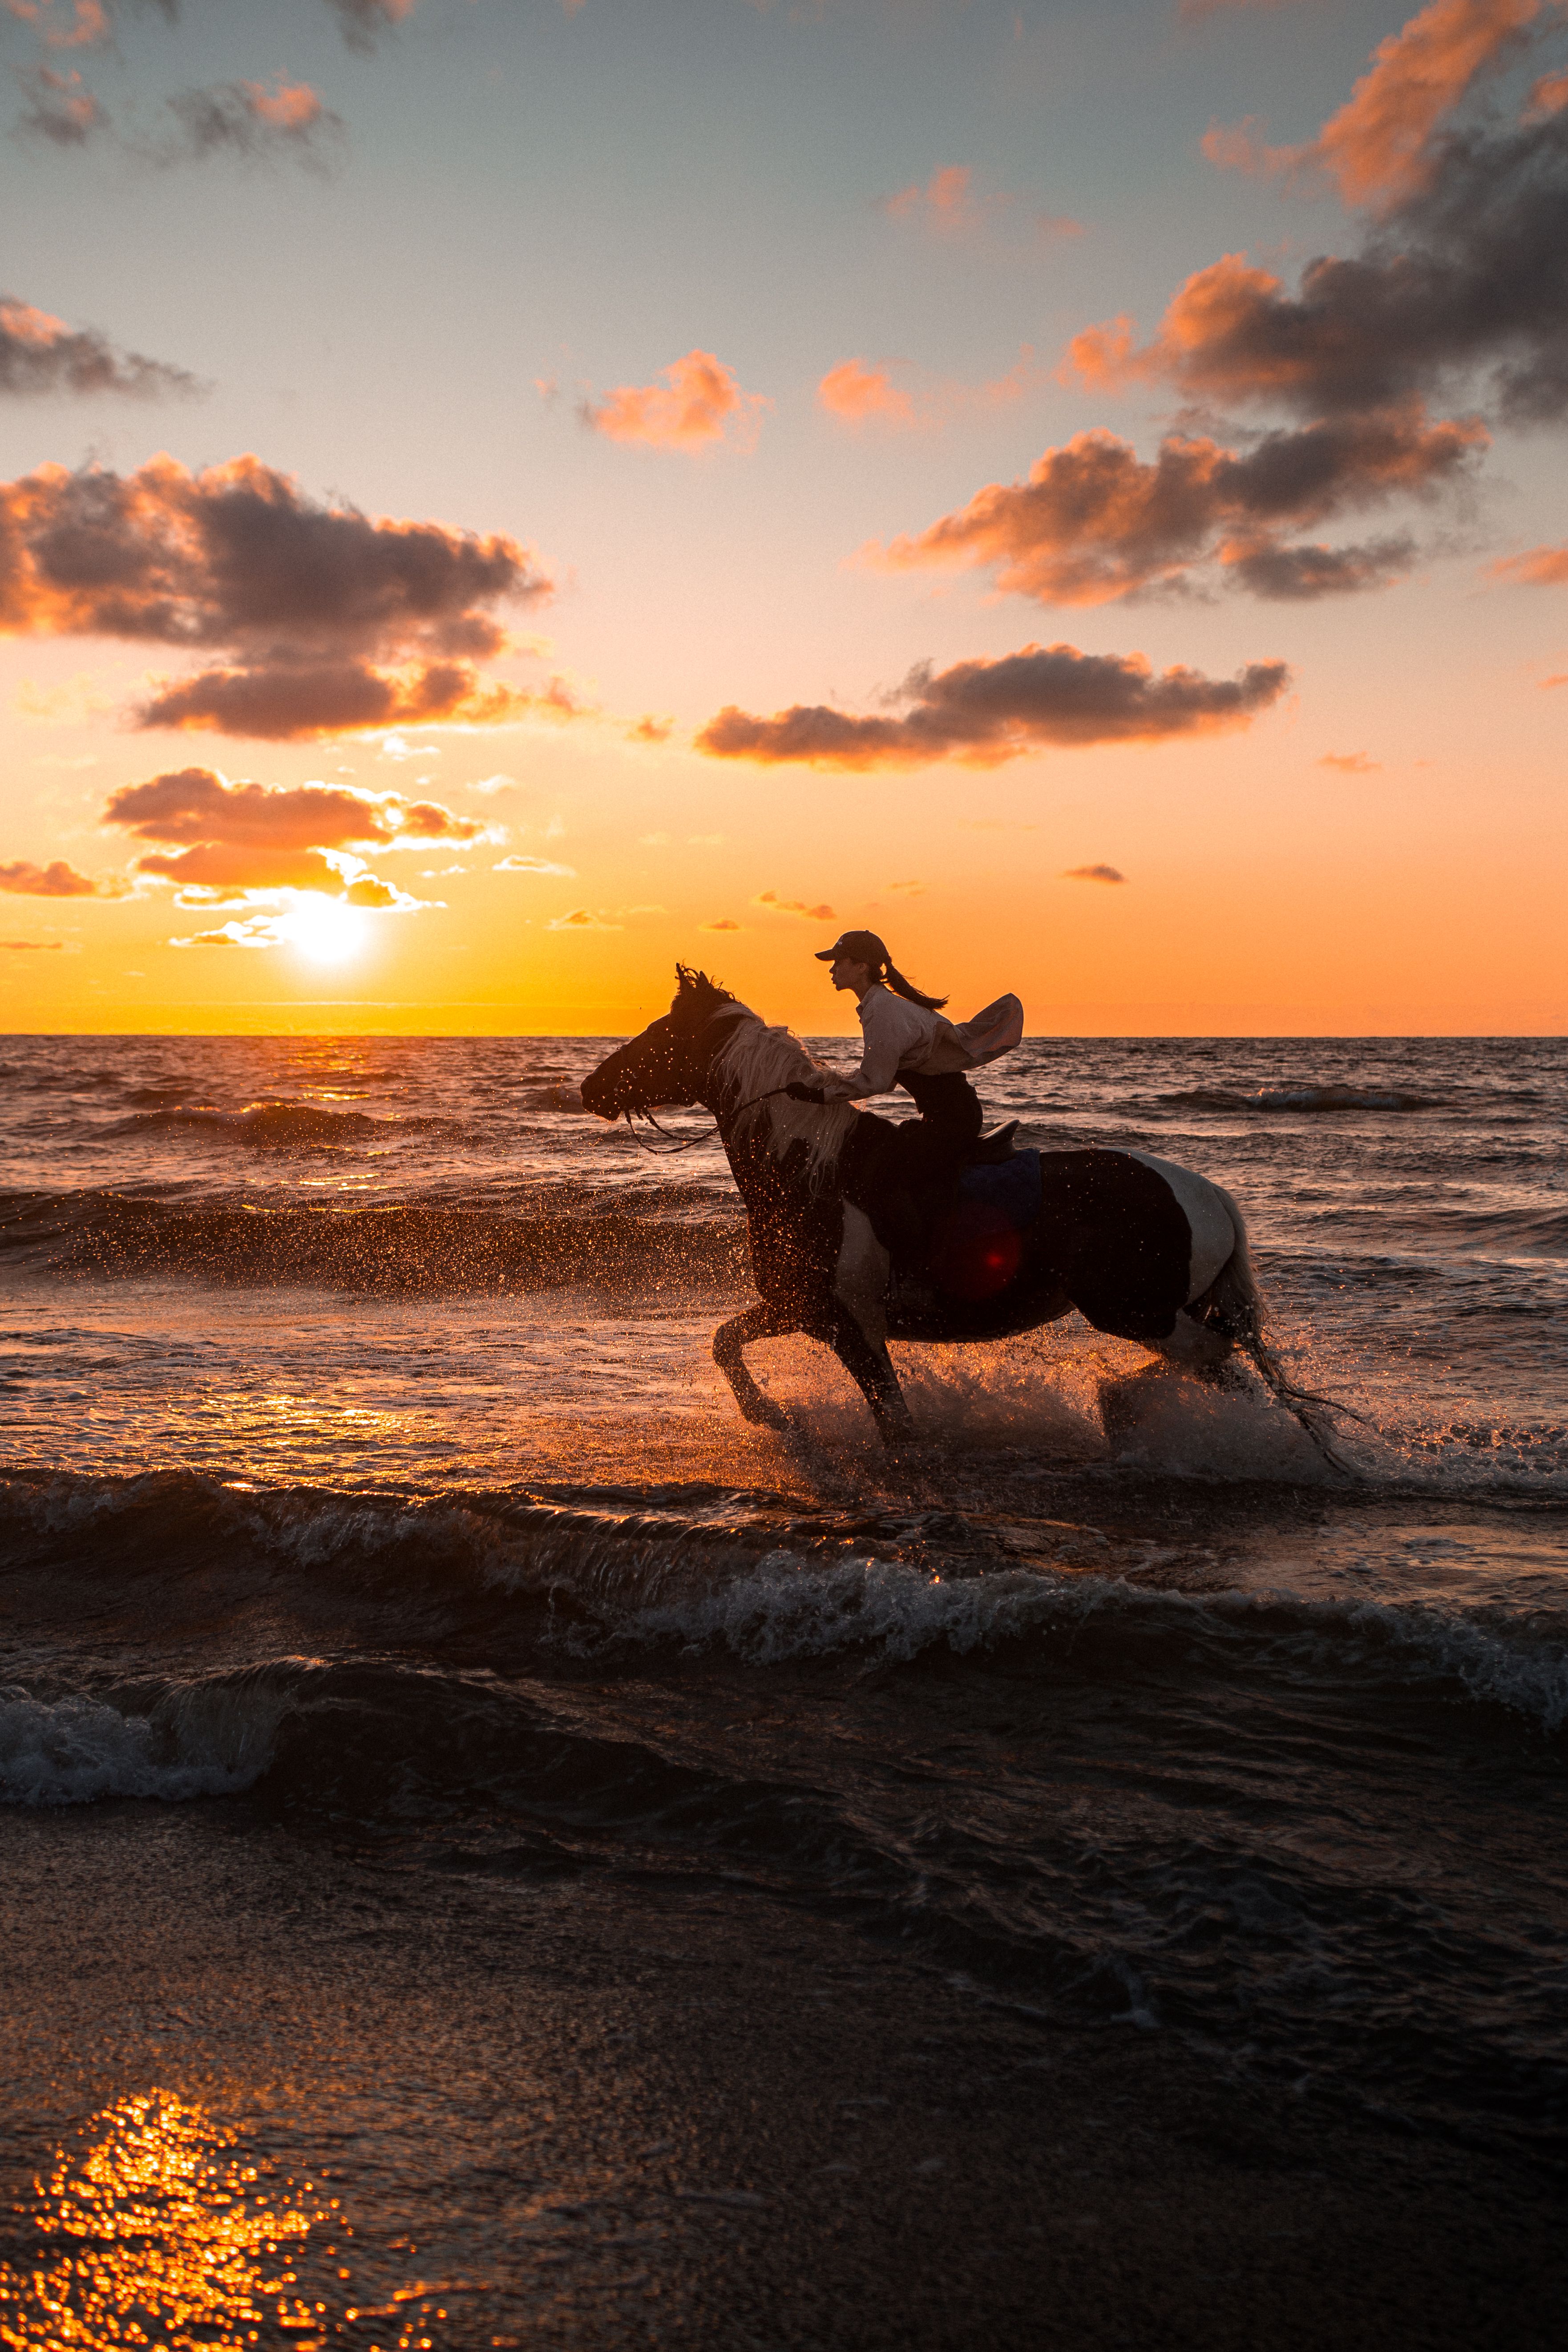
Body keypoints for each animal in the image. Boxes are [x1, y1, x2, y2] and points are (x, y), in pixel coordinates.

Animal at [579, 967, 1348, 1465]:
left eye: (659, 1034)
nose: (591, 1088)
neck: (808, 1167)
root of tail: (1210, 1194)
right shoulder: (802, 1306)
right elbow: (724, 1340)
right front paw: (772, 1414)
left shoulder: (851, 1323)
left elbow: (896, 1423)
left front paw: (782, 1416)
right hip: (1162, 1311)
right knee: (1220, 1370)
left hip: (1135, 1312)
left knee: (1213, 1361)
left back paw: (1128, 1414)